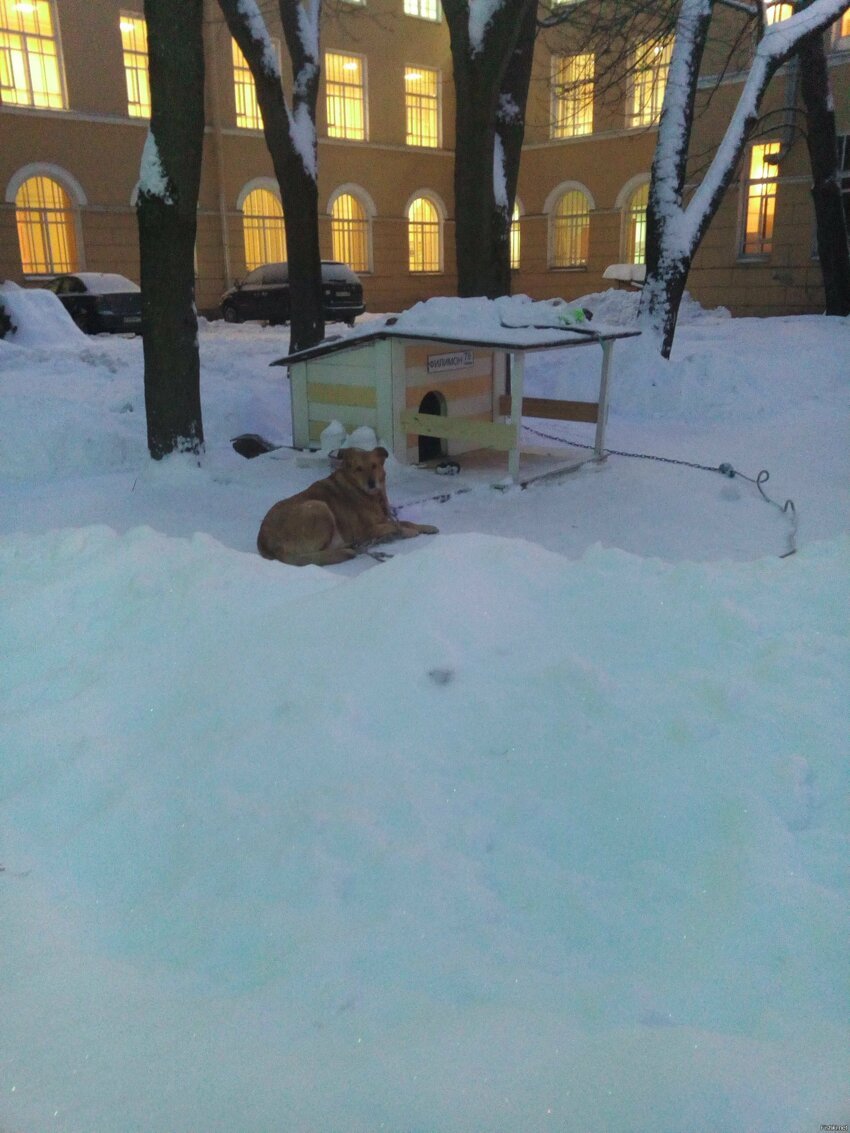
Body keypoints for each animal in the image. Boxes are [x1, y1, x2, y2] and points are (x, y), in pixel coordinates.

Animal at [256, 444, 439, 564]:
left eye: (374, 465)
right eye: (359, 469)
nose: (371, 483)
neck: (370, 495)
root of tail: (264, 543)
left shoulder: (382, 519)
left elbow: (405, 521)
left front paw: (426, 527)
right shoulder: (365, 530)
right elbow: (395, 525)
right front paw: (408, 532)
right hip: (318, 507)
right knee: (320, 553)